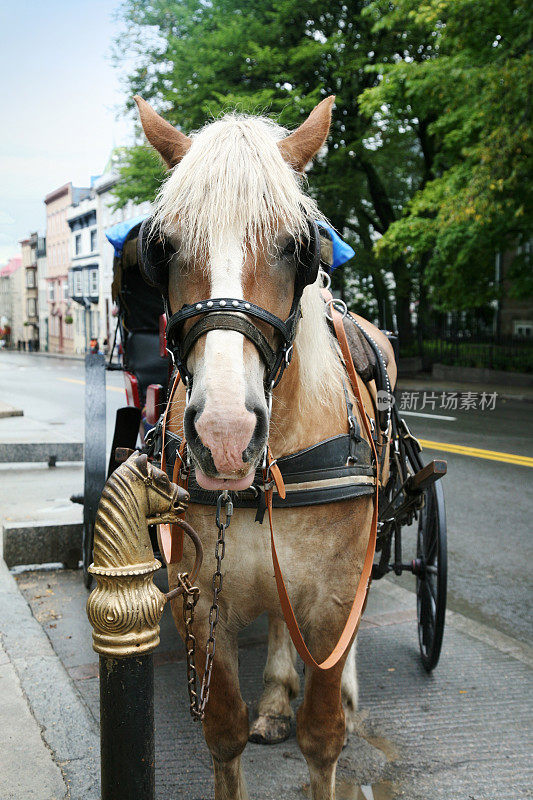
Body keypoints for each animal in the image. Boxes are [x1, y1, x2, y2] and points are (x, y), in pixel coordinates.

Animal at [135, 95, 394, 800]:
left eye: (297, 246)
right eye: (162, 246)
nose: (225, 436)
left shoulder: (333, 598)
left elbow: (324, 736)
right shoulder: (200, 599)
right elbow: (224, 732)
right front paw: (263, 710)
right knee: (280, 617)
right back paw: (277, 699)